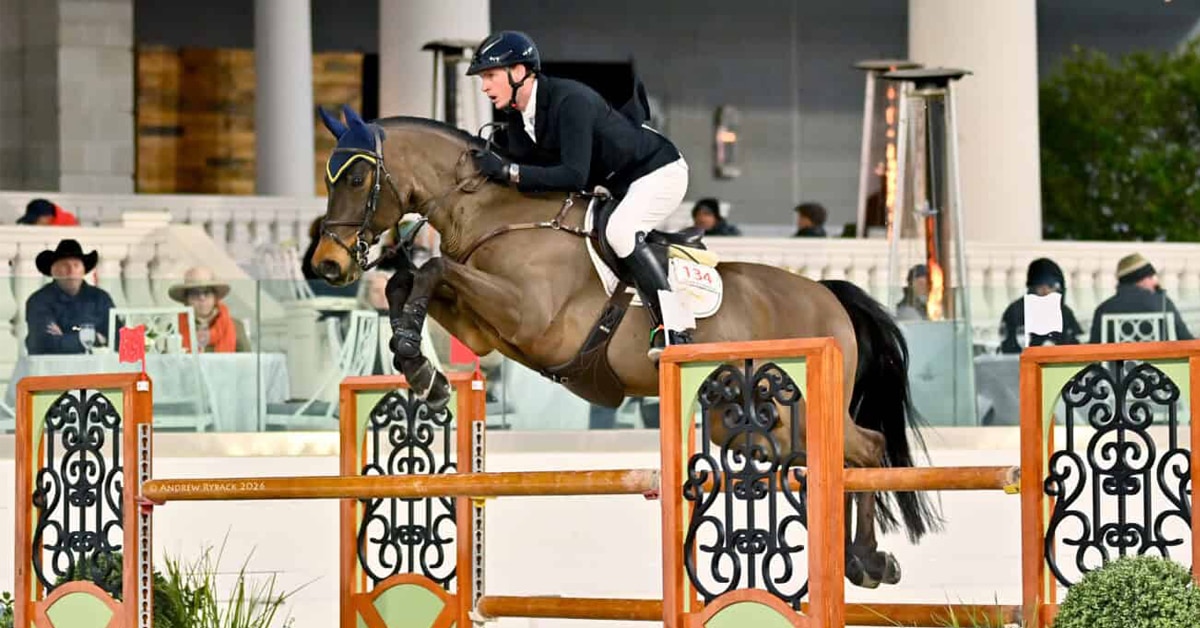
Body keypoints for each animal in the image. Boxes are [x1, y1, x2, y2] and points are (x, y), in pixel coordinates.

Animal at [308, 105, 942, 590]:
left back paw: (866, 560)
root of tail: (828, 293)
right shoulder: (485, 328)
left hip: (796, 406)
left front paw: (417, 364)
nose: (327, 265)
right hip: (748, 424)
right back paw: (857, 558)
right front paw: (422, 370)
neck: (494, 214)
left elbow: (431, 268)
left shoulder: (530, 316)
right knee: (836, 460)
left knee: (867, 448)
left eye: (356, 180)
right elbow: (408, 281)